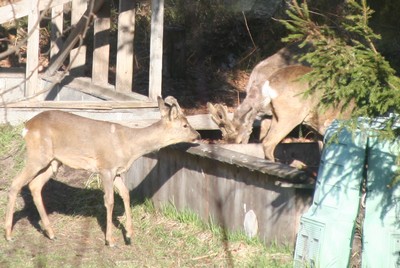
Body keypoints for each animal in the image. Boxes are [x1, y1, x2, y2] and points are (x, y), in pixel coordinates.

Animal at [3, 96, 200, 247]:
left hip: (53, 161)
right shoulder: (106, 168)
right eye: (185, 125)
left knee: (34, 185)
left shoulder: (118, 171)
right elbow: (110, 200)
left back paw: (51, 233)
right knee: (15, 183)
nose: (197, 135)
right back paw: (8, 234)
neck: (130, 146)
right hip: (38, 155)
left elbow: (126, 194)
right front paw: (110, 240)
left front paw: (129, 235)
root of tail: (26, 127)